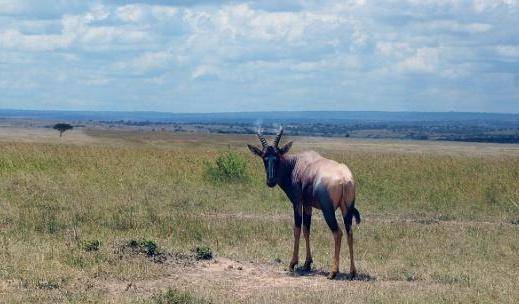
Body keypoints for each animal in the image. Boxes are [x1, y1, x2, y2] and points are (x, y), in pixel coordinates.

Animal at [249, 127, 362, 280]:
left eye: (277, 157)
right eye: (264, 157)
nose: (270, 181)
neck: (296, 164)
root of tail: (344, 178)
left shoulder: (297, 202)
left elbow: (297, 229)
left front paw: (292, 264)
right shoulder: (308, 205)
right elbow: (306, 229)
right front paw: (307, 263)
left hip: (328, 211)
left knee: (338, 233)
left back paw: (333, 272)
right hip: (347, 210)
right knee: (350, 233)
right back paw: (352, 272)